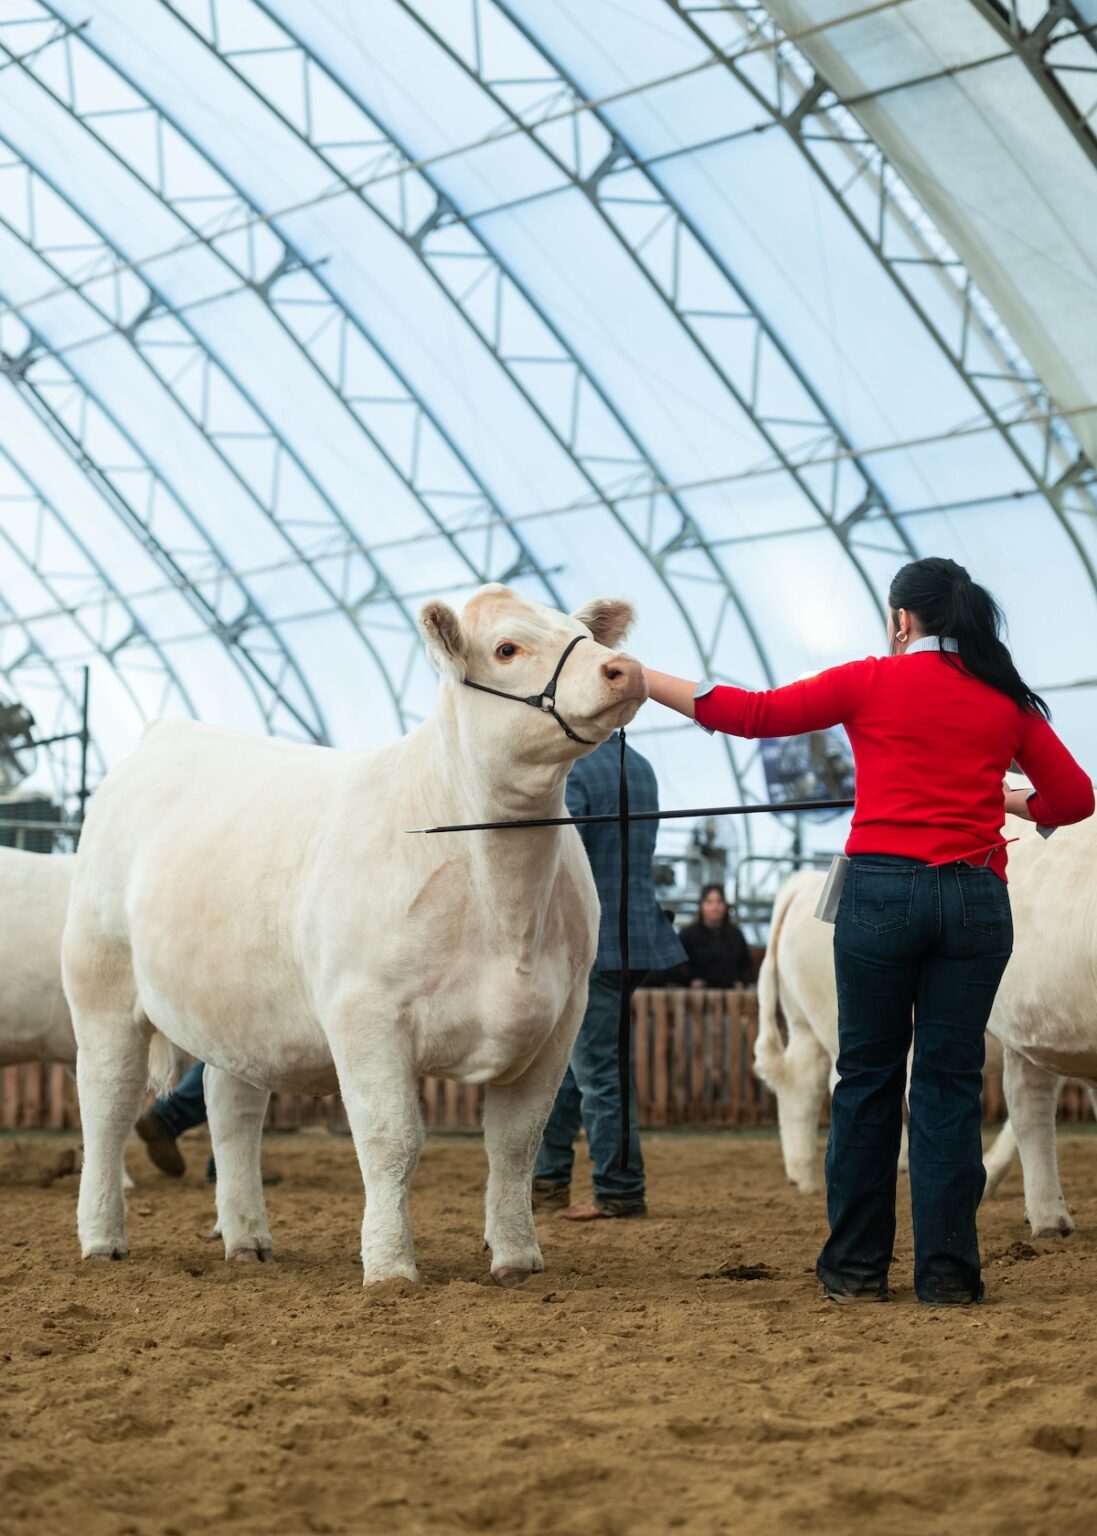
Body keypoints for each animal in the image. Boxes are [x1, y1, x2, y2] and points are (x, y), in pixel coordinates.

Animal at [62, 586, 645, 1285]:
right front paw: (390, 1267)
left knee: (231, 1108)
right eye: (507, 648)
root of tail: (171, 732)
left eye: (585, 635)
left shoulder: (558, 1019)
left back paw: (246, 1237)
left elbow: (515, 1143)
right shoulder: (366, 1012)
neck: (504, 905)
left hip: (240, 1011)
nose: (624, 669)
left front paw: (516, 1258)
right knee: (106, 1102)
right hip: (101, 986)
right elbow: (392, 1139)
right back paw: (101, 1238)